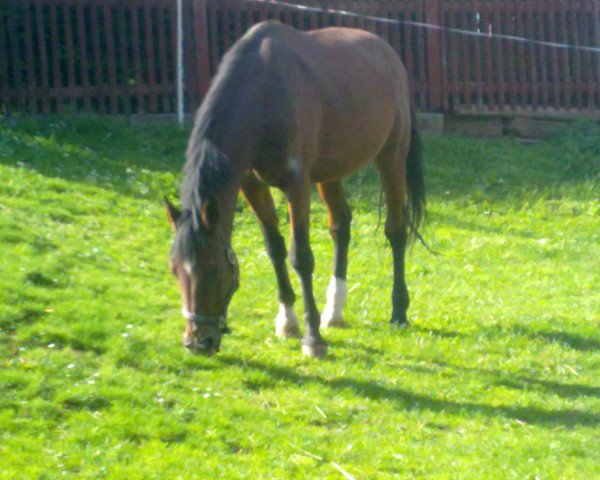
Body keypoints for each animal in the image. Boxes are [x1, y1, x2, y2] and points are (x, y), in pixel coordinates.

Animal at [164, 20, 426, 358]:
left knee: (395, 231)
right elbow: (274, 249)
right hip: (329, 172)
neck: (264, 93)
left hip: (391, 157)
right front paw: (288, 321)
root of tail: (388, 53)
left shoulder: (297, 186)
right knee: (341, 225)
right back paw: (334, 311)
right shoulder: (251, 186)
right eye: (174, 269)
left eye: (211, 267)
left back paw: (399, 312)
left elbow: (300, 256)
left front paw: (313, 338)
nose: (198, 342)